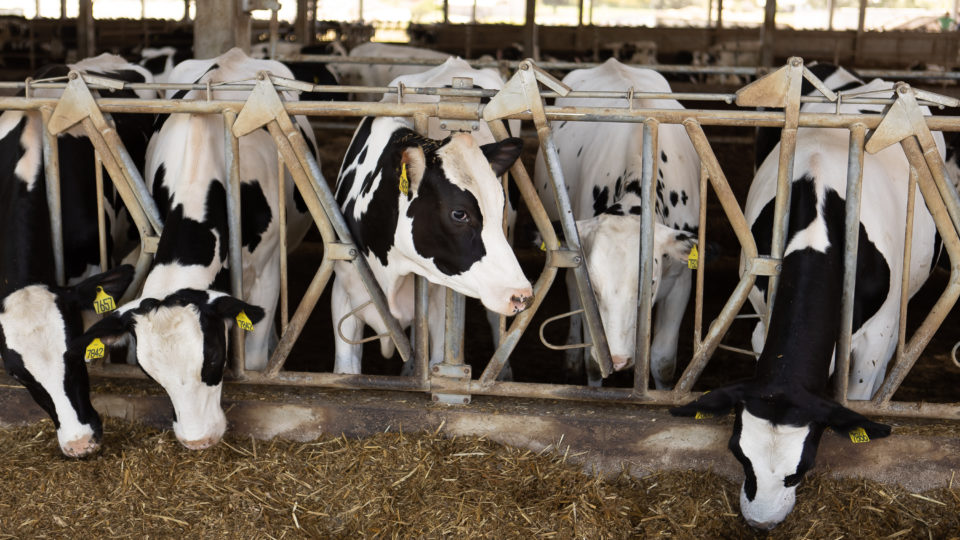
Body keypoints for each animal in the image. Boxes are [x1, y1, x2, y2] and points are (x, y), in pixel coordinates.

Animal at [329, 57, 523, 376]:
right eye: (459, 213)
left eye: (500, 203)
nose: (521, 294)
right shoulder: (344, 293)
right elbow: (346, 370)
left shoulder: (439, 303)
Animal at [533, 58, 700, 388]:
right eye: (595, 289)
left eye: (648, 283)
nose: (620, 359)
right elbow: (594, 362)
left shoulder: (680, 279)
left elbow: (663, 362)